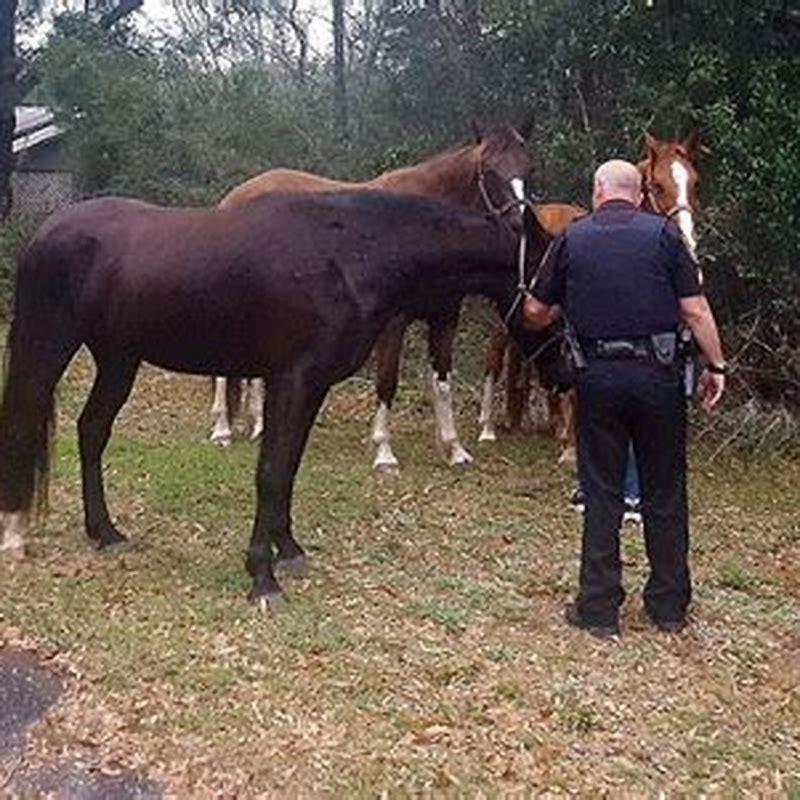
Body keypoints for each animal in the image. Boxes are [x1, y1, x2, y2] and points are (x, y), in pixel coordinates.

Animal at [0, 189, 556, 608]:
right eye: (558, 275)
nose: (565, 371)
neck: (349, 253)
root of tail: (46, 232)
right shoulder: (291, 381)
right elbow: (270, 473)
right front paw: (262, 578)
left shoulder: (311, 386)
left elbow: (288, 468)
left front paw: (287, 549)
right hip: (48, 347)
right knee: (27, 424)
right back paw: (16, 532)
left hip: (119, 359)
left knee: (92, 430)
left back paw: (105, 532)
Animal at [208, 124, 533, 472]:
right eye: (488, 169)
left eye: (528, 166)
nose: (519, 225)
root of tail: (234, 197)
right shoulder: (394, 323)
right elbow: (387, 381)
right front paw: (384, 453)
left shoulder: (445, 317)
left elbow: (443, 383)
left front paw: (455, 449)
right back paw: (222, 430)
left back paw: (258, 425)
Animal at [477, 130, 706, 463]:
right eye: (658, 185)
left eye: (694, 183)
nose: (688, 246)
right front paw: (572, 450)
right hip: (503, 320)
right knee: (494, 359)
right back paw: (488, 428)